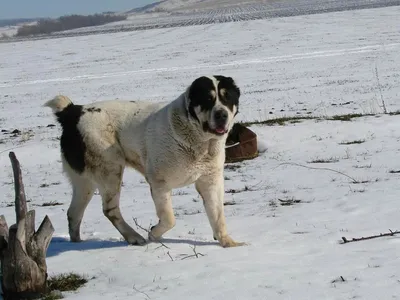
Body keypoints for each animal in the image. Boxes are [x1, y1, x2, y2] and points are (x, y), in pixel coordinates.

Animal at [43, 75, 244, 248]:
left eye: (227, 98)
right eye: (207, 99)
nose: (221, 114)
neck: (198, 138)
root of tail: (73, 112)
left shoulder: (211, 181)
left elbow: (217, 215)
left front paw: (227, 242)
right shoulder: (159, 183)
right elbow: (169, 218)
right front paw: (153, 234)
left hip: (85, 182)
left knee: (74, 213)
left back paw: (77, 243)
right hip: (110, 169)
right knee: (110, 209)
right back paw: (134, 237)